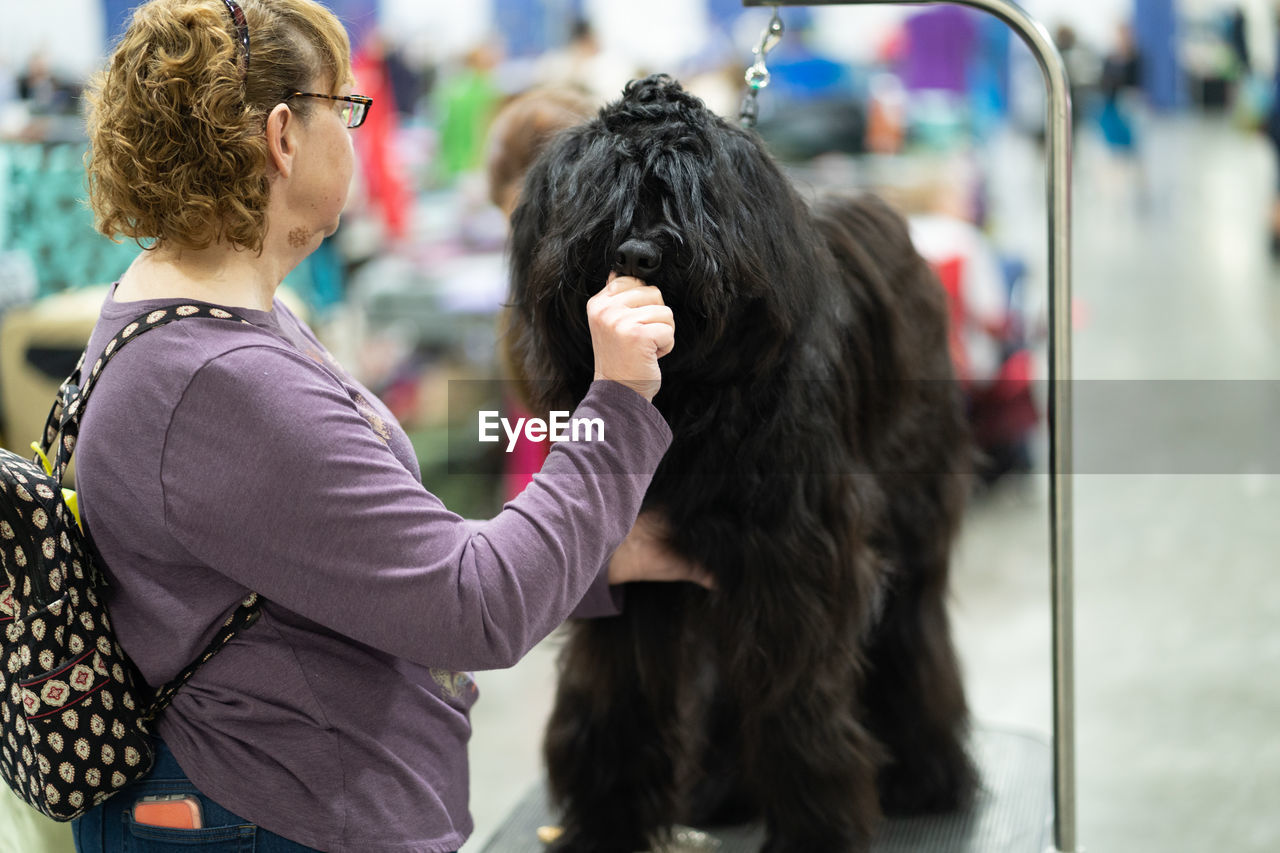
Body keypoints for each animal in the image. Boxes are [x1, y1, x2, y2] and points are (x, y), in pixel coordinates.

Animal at [504, 74, 972, 850]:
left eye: (689, 191)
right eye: (602, 189)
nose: (638, 254)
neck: (687, 402)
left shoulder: (795, 568)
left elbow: (795, 705)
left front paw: (817, 831)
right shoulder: (623, 568)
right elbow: (615, 696)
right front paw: (605, 826)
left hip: (909, 513)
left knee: (912, 630)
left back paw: (926, 776)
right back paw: (721, 791)